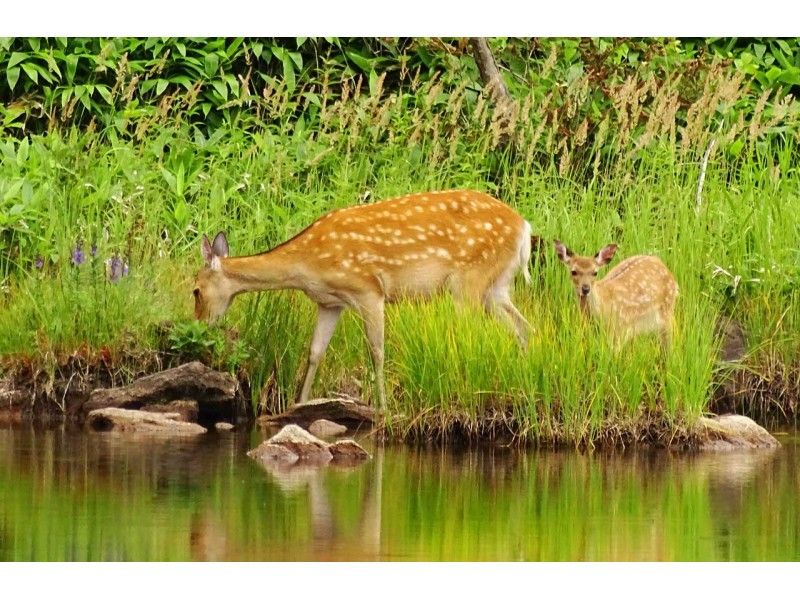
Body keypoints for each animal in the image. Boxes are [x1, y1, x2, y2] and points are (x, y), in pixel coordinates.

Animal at [193, 192, 532, 412]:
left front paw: (382, 409)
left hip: (469, 281)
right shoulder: (330, 302)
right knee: (524, 328)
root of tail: (524, 229)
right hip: (497, 287)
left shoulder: (368, 289)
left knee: (472, 335)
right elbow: (315, 352)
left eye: (195, 290)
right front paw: (298, 403)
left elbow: (377, 351)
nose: (199, 325)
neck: (306, 264)